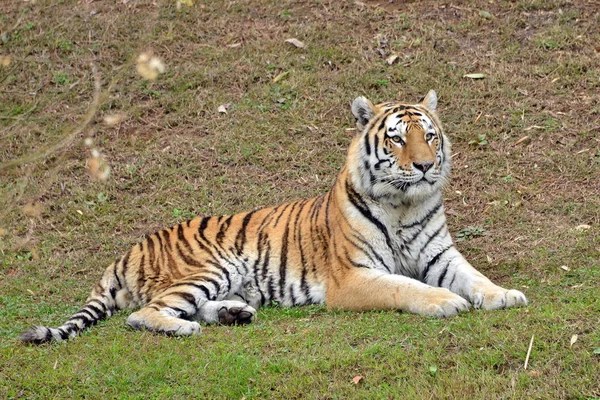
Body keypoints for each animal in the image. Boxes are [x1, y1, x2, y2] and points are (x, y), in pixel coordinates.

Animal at [18, 90, 528, 344]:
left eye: (429, 135)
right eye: (398, 138)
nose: (424, 165)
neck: (405, 204)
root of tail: (126, 252)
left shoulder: (442, 256)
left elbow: (476, 277)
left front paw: (505, 295)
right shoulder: (354, 276)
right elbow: (406, 286)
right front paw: (445, 302)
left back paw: (233, 314)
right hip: (210, 266)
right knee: (145, 314)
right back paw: (186, 327)